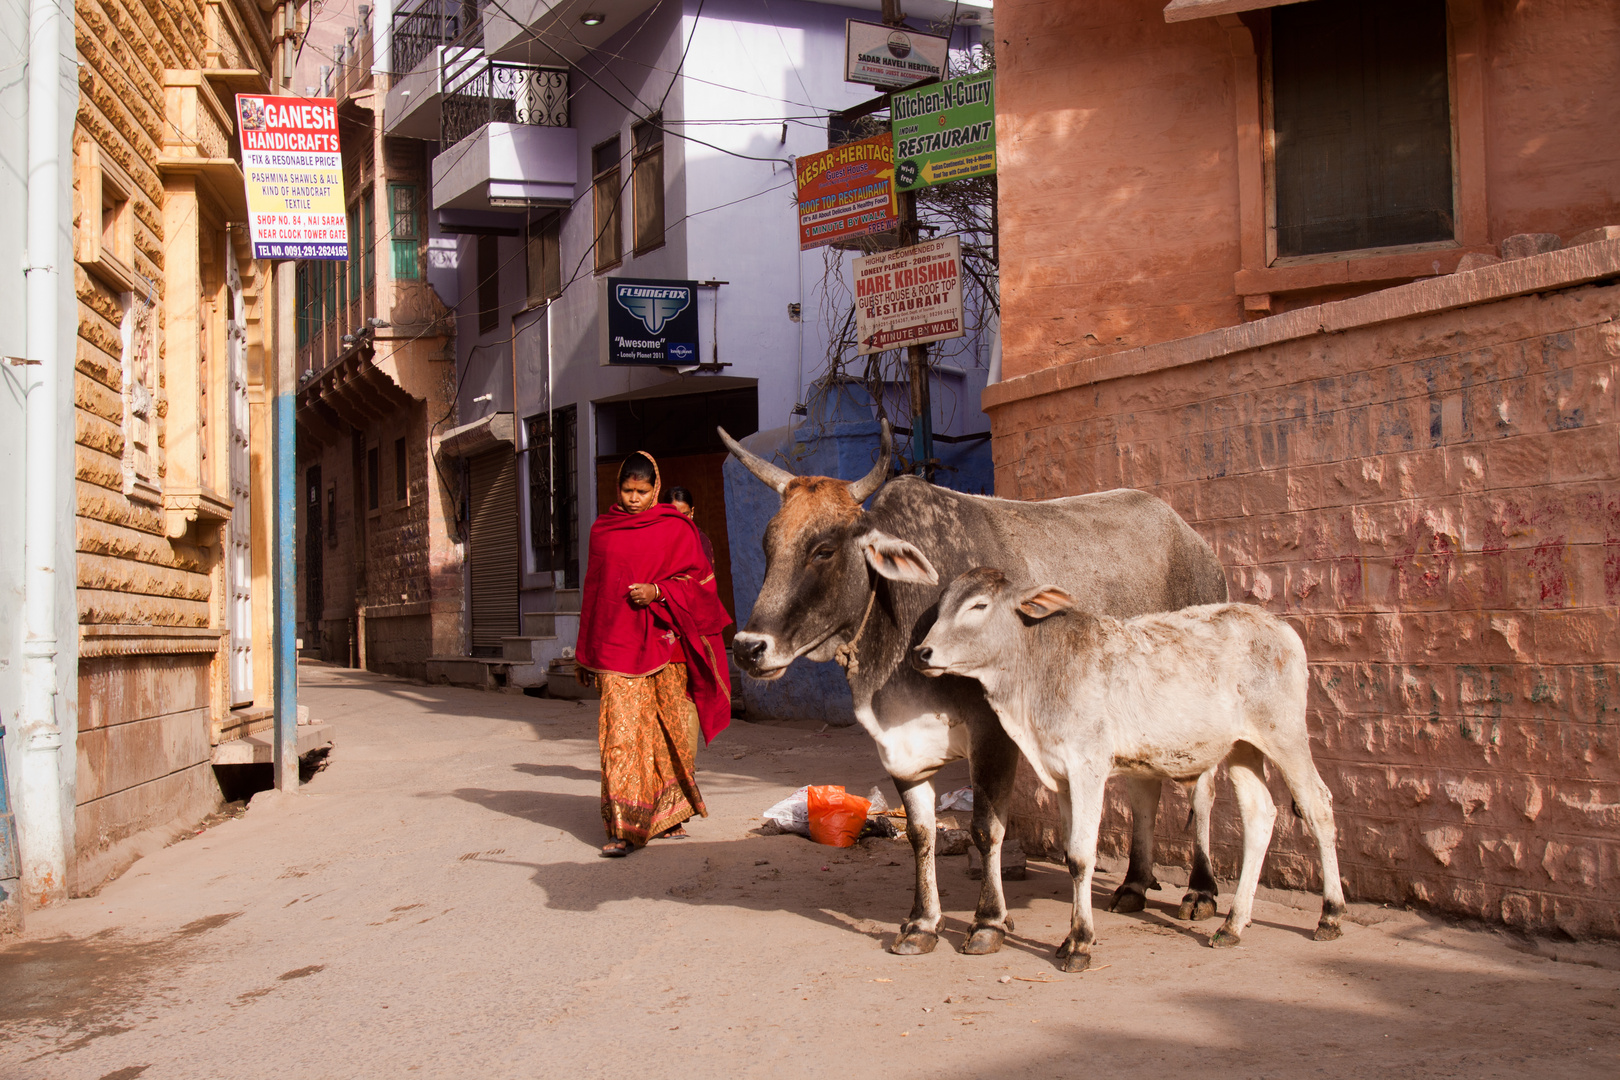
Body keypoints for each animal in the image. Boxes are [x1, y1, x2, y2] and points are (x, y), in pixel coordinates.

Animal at [722, 420, 1224, 952]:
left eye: (824, 549)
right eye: (767, 546)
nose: (748, 648)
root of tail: (1197, 543)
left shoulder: (994, 735)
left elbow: (986, 829)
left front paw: (988, 921)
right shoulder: (900, 745)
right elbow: (921, 833)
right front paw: (922, 922)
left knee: (1203, 792)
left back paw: (1200, 891)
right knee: (1143, 787)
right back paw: (1134, 884)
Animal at [913, 569, 1341, 977]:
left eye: (979, 606)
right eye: (942, 605)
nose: (922, 652)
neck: (1039, 669)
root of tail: (1279, 626)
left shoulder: (1088, 768)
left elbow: (1081, 856)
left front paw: (1080, 943)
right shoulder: (1062, 778)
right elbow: (1070, 852)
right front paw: (1071, 939)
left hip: (1285, 735)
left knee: (1317, 805)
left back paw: (1330, 915)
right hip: (1242, 748)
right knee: (1259, 814)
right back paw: (1233, 924)